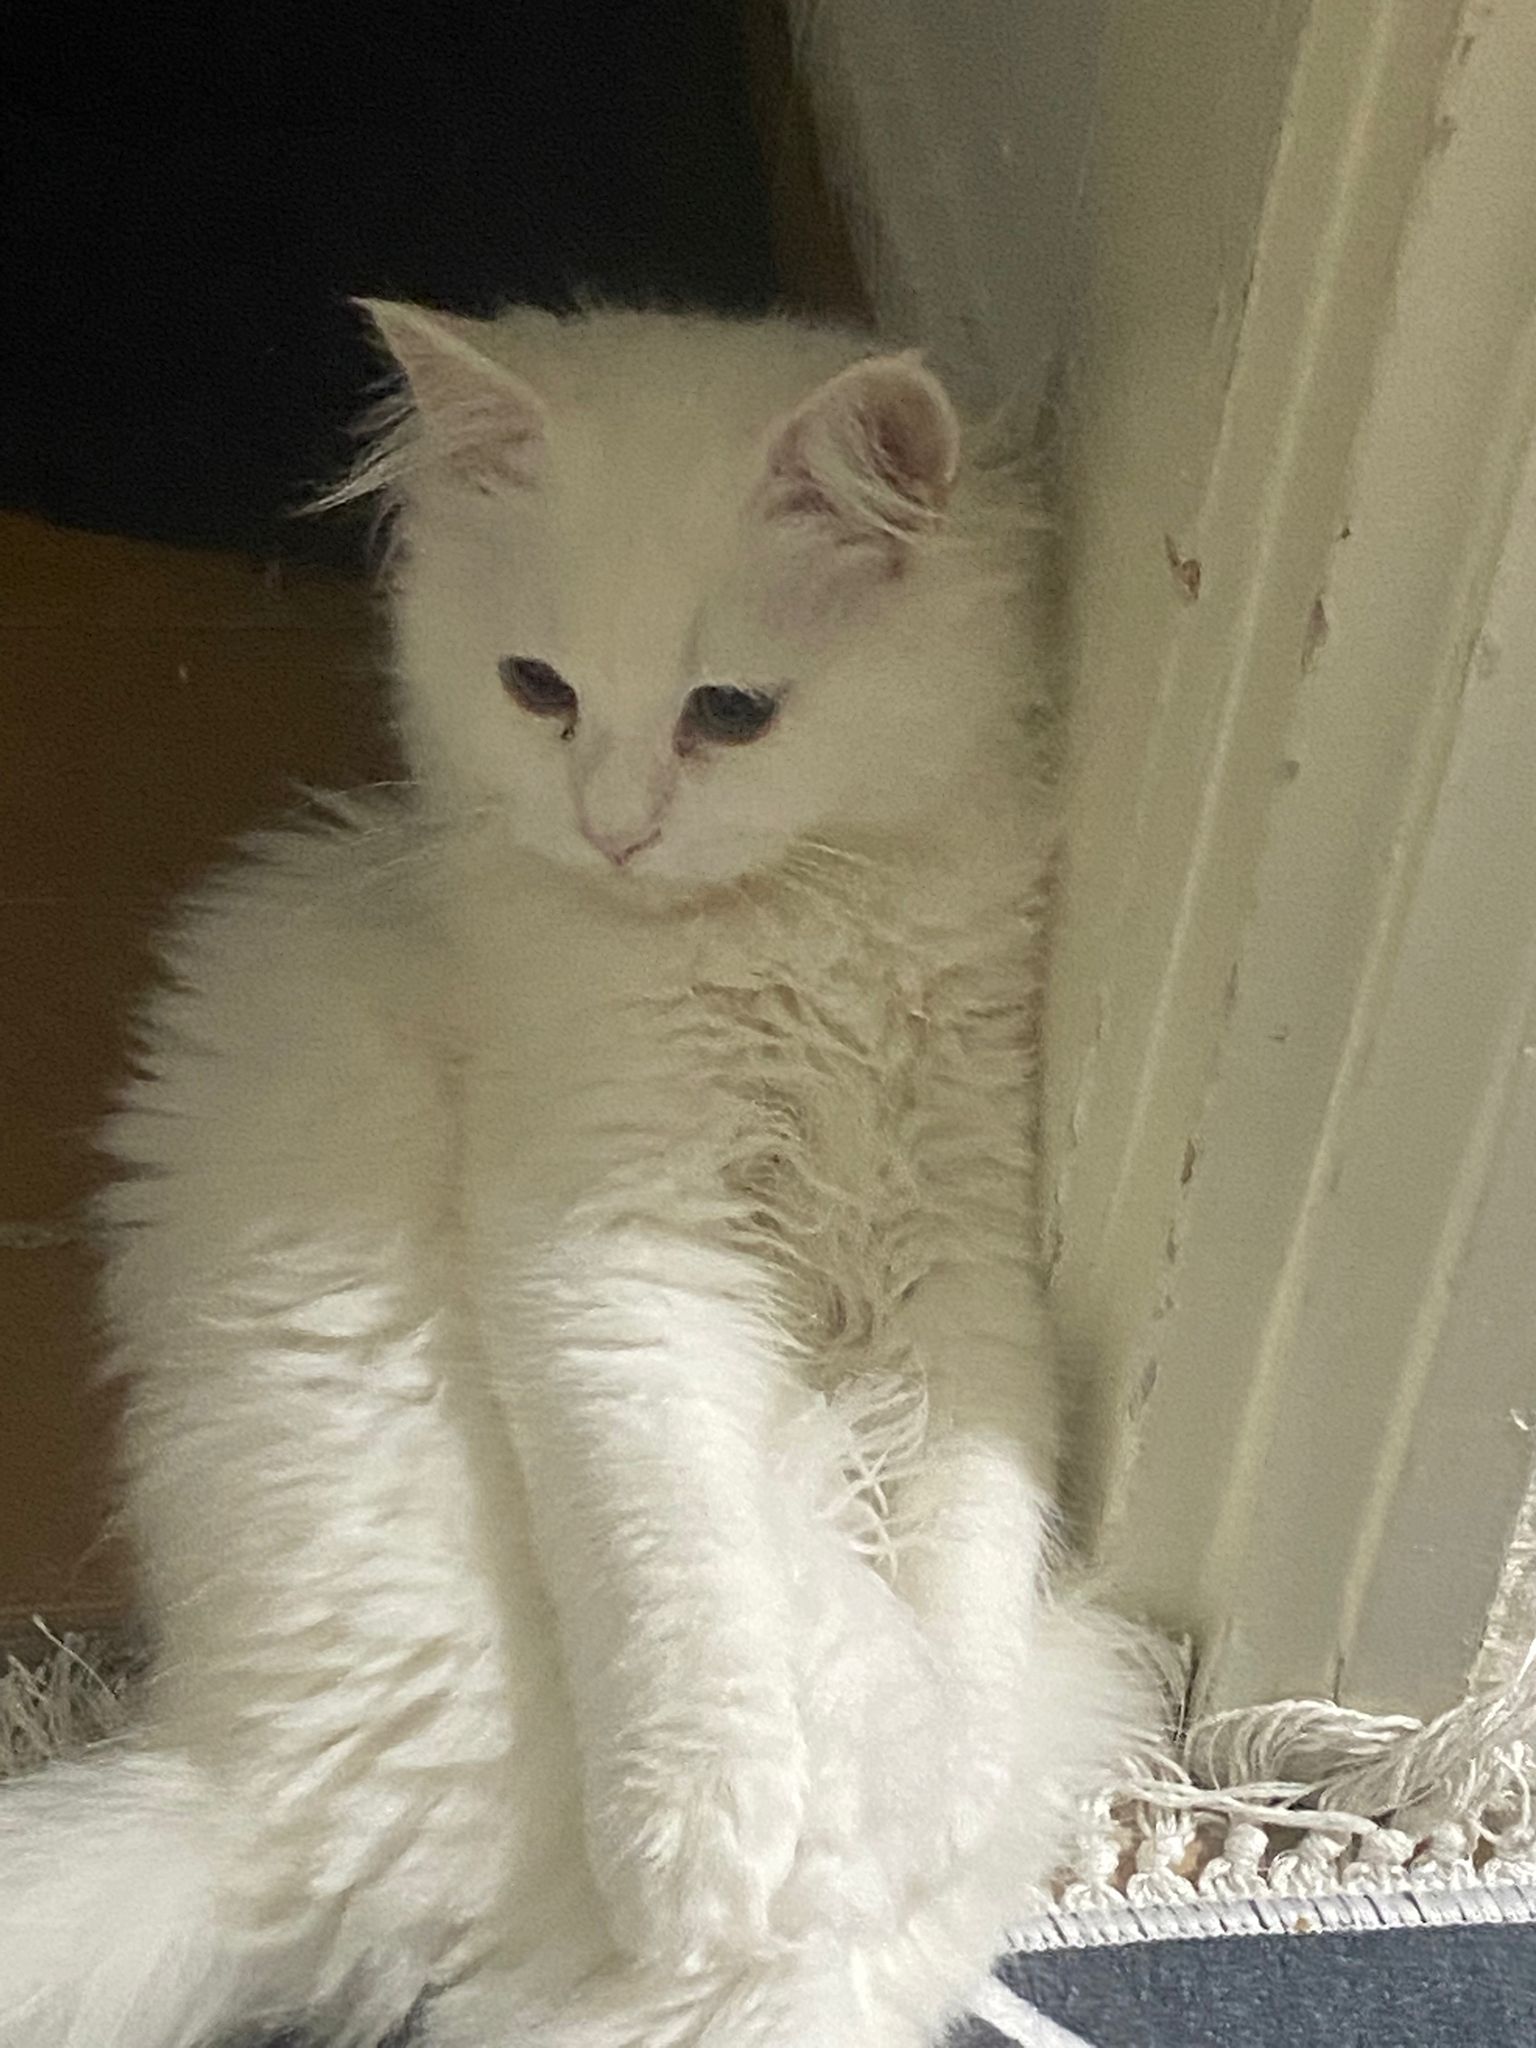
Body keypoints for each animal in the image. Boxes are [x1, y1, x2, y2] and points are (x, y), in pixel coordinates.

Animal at [0, 302, 1150, 2048]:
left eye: (728, 713)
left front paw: (949, 1774)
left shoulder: (960, 1266)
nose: (612, 829)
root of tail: (250, 1818)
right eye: (536, 689)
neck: (776, 940)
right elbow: (675, 1570)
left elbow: (971, 1549)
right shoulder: (615, 1261)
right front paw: (697, 1849)